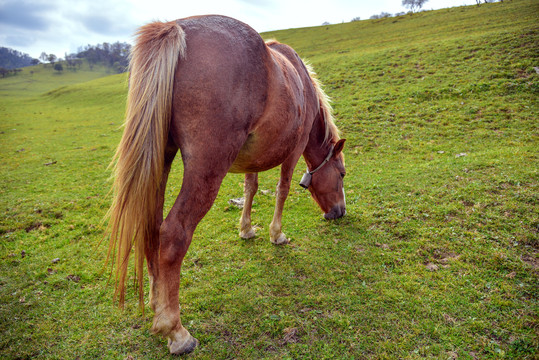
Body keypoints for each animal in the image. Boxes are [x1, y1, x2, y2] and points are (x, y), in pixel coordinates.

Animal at [107, 14, 348, 354]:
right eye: (341, 175)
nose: (340, 211)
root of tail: (176, 28)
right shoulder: (293, 150)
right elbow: (283, 190)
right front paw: (277, 234)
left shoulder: (253, 160)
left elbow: (250, 189)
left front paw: (246, 229)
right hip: (206, 170)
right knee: (173, 233)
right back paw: (176, 331)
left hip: (160, 160)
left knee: (151, 228)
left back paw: (156, 305)